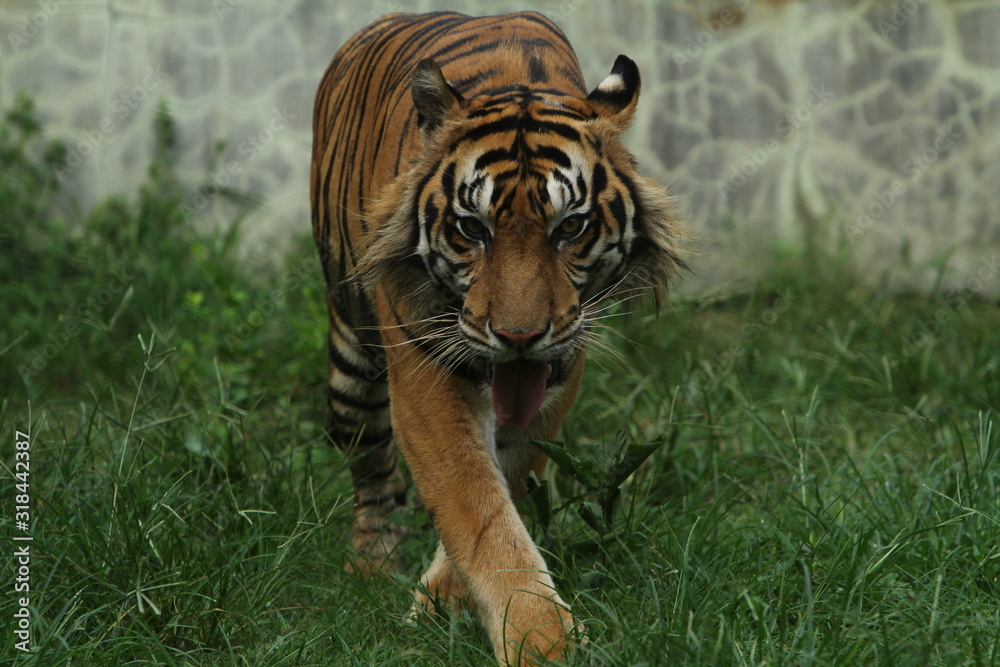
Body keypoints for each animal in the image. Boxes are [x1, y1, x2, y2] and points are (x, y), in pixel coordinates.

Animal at [310, 11, 686, 665]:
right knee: (370, 464)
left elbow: (501, 480)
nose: (518, 335)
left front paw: (443, 601)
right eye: (471, 228)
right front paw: (542, 645)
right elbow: (476, 506)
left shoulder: (560, 368)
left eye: (571, 227)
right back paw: (373, 563)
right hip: (351, 362)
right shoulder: (427, 369)